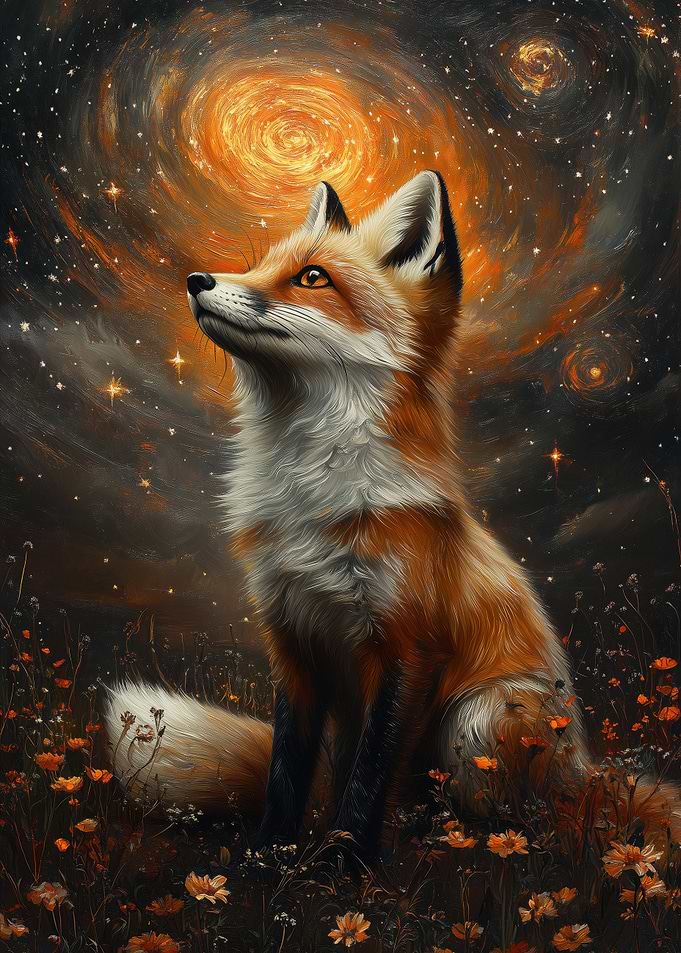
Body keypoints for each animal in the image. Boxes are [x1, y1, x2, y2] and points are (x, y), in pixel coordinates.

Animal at [105, 171, 681, 858]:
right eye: (261, 265)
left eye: (313, 277)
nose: (196, 280)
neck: (315, 496)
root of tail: (586, 782)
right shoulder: (293, 642)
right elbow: (286, 770)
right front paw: (270, 855)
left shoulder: (409, 647)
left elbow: (373, 774)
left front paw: (345, 860)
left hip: (482, 716)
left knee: (518, 820)